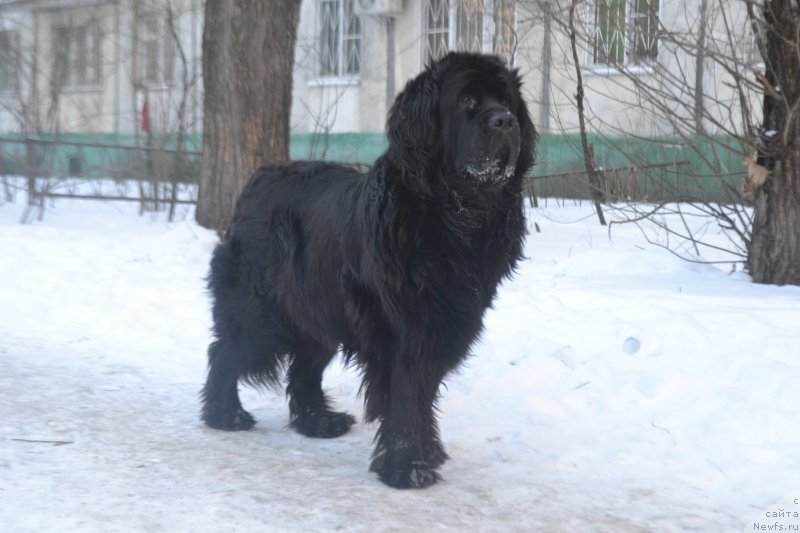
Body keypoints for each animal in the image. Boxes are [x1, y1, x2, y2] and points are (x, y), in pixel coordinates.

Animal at [202, 51, 536, 486]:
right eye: (466, 100)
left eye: (508, 102)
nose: (505, 122)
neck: (454, 217)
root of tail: (257, 178)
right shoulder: (403, 329)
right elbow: (407, 393)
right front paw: (407, 466)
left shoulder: (445, 319)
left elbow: (424, 392)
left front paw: (428, 453)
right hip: (260, 310)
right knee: (225, 350)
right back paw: (225, 414)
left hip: (318, 312)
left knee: (304, 367)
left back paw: (318, 421)